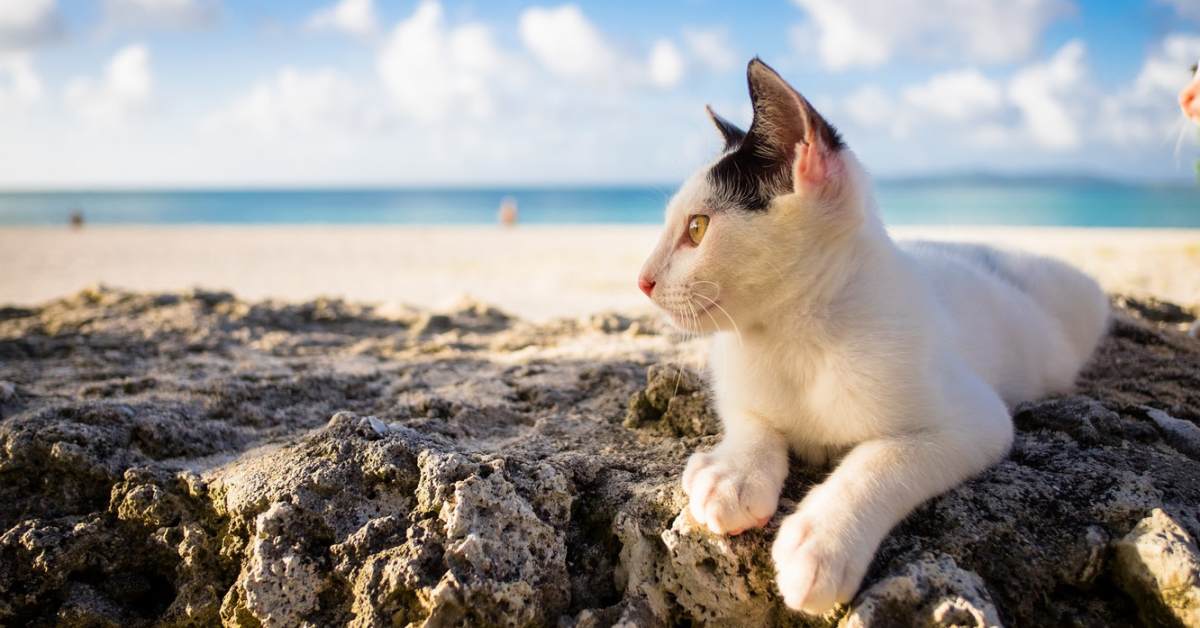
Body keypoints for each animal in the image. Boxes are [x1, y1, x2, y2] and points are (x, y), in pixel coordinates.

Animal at [633, 57, 1108, 614]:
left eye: (698, 228)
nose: (642, 280)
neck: (792, 336)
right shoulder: (739, 381)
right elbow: (753, 420)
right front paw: (733, 475)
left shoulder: (976, 419)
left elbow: (884, 458)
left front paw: (820, 541)